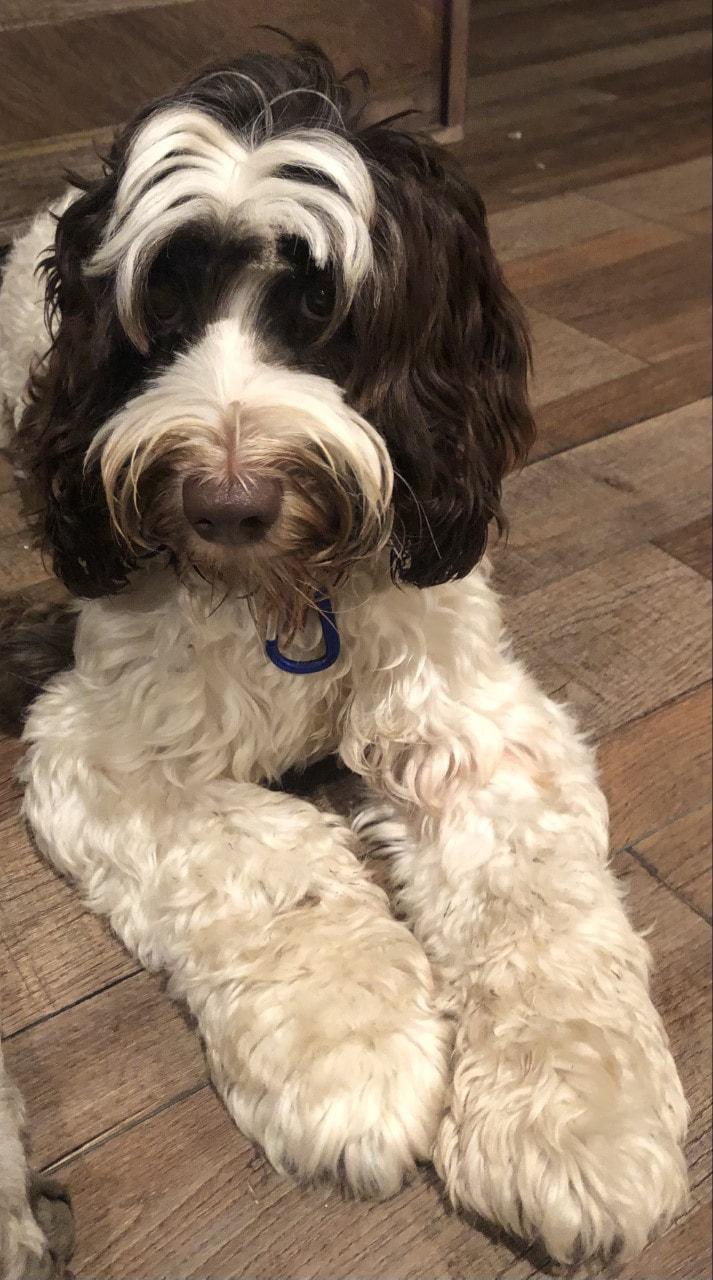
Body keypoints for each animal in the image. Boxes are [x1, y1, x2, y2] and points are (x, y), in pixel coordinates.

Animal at [0, 43, 689, 1267]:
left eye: (322, 306)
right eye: (160, 302)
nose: (225, 504)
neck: (289, 597)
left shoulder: (472, 722)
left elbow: (532, 905)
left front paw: (575, 1125)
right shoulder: (99, 741)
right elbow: (271, 861)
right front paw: (351, 1060)